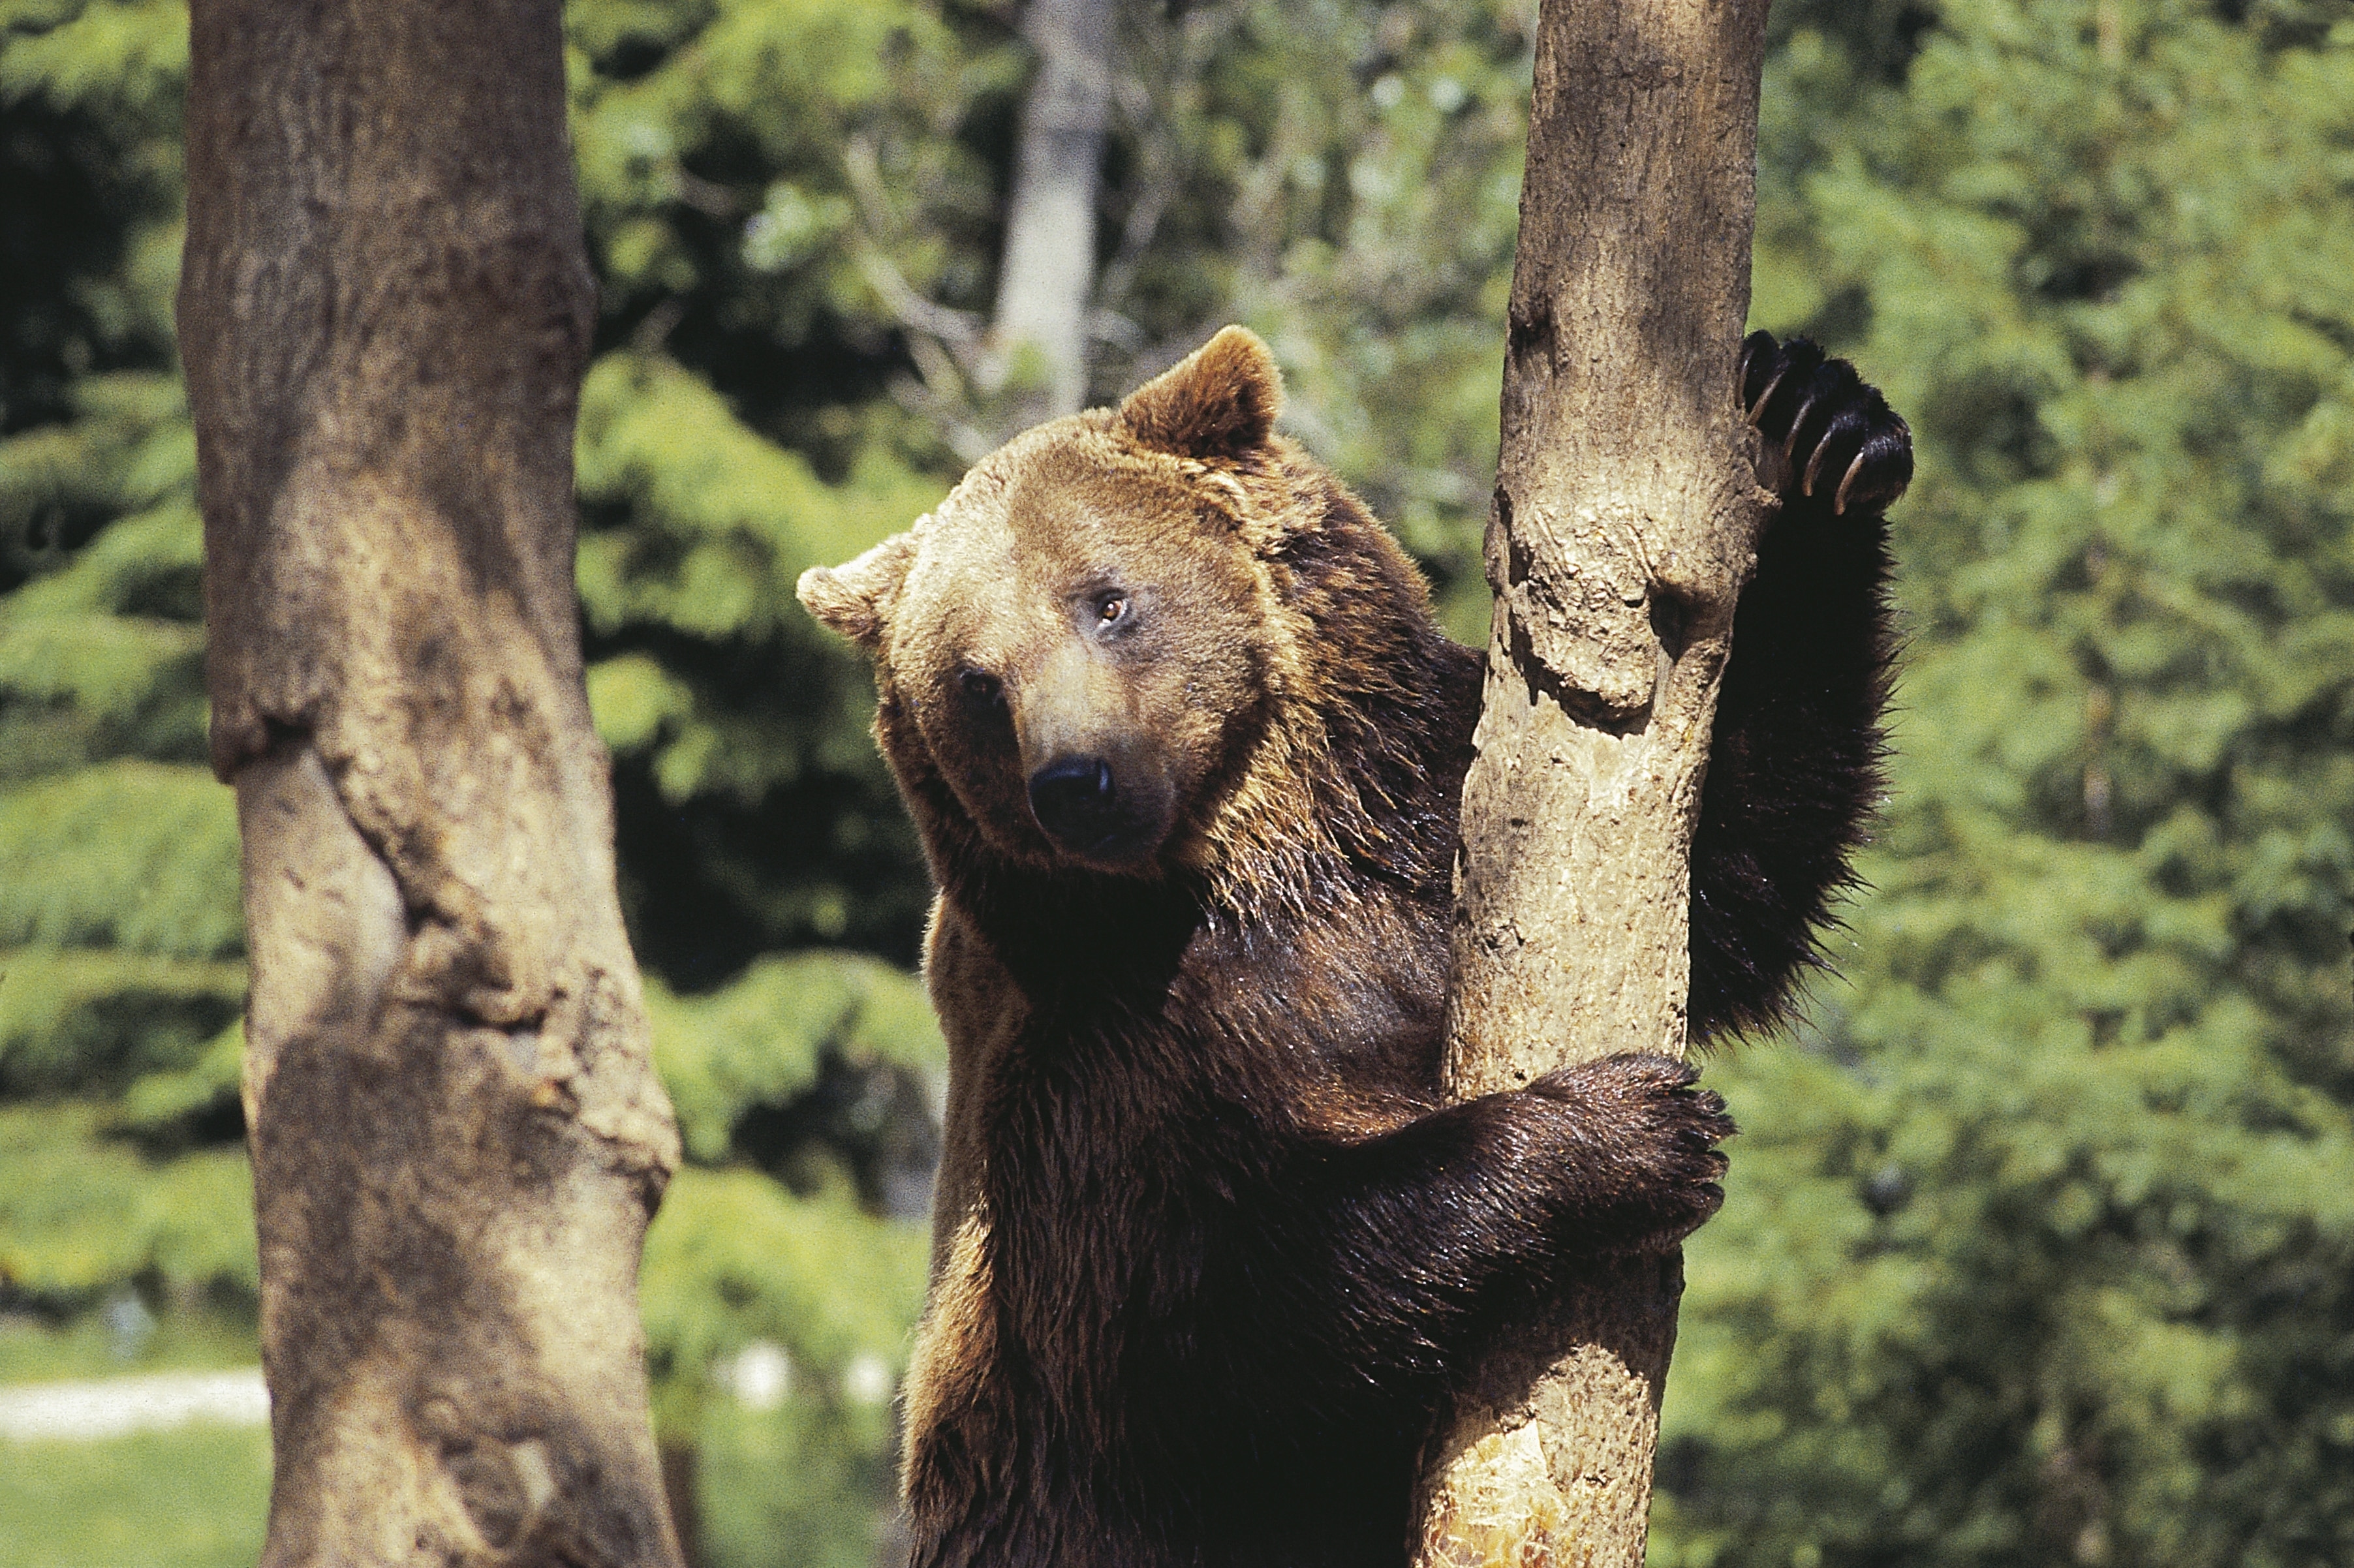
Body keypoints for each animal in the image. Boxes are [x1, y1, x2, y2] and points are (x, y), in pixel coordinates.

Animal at [800, 322, 1902, 1554]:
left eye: (1106, 601)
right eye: (976, 681)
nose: (1075, 781)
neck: (1269, 864)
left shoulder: (1430, 830)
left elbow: (1736, 871)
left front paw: (1816, 427)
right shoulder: (1104, 1076)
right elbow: (1225, 1314)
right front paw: (1632, 1128)